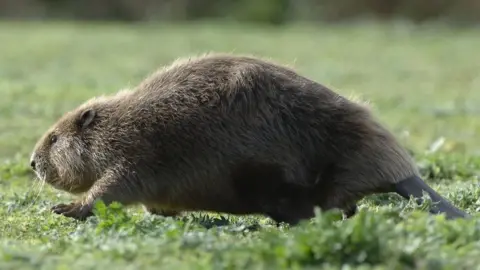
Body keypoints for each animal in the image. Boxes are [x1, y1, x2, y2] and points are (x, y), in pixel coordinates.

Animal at [30, 52, 468, 224]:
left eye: (53, 139)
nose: (32, 163)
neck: (124, 123)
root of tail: (403, 173)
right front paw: (167, 212)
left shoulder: (136, 153)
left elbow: (110, 189)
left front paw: (64, 209)